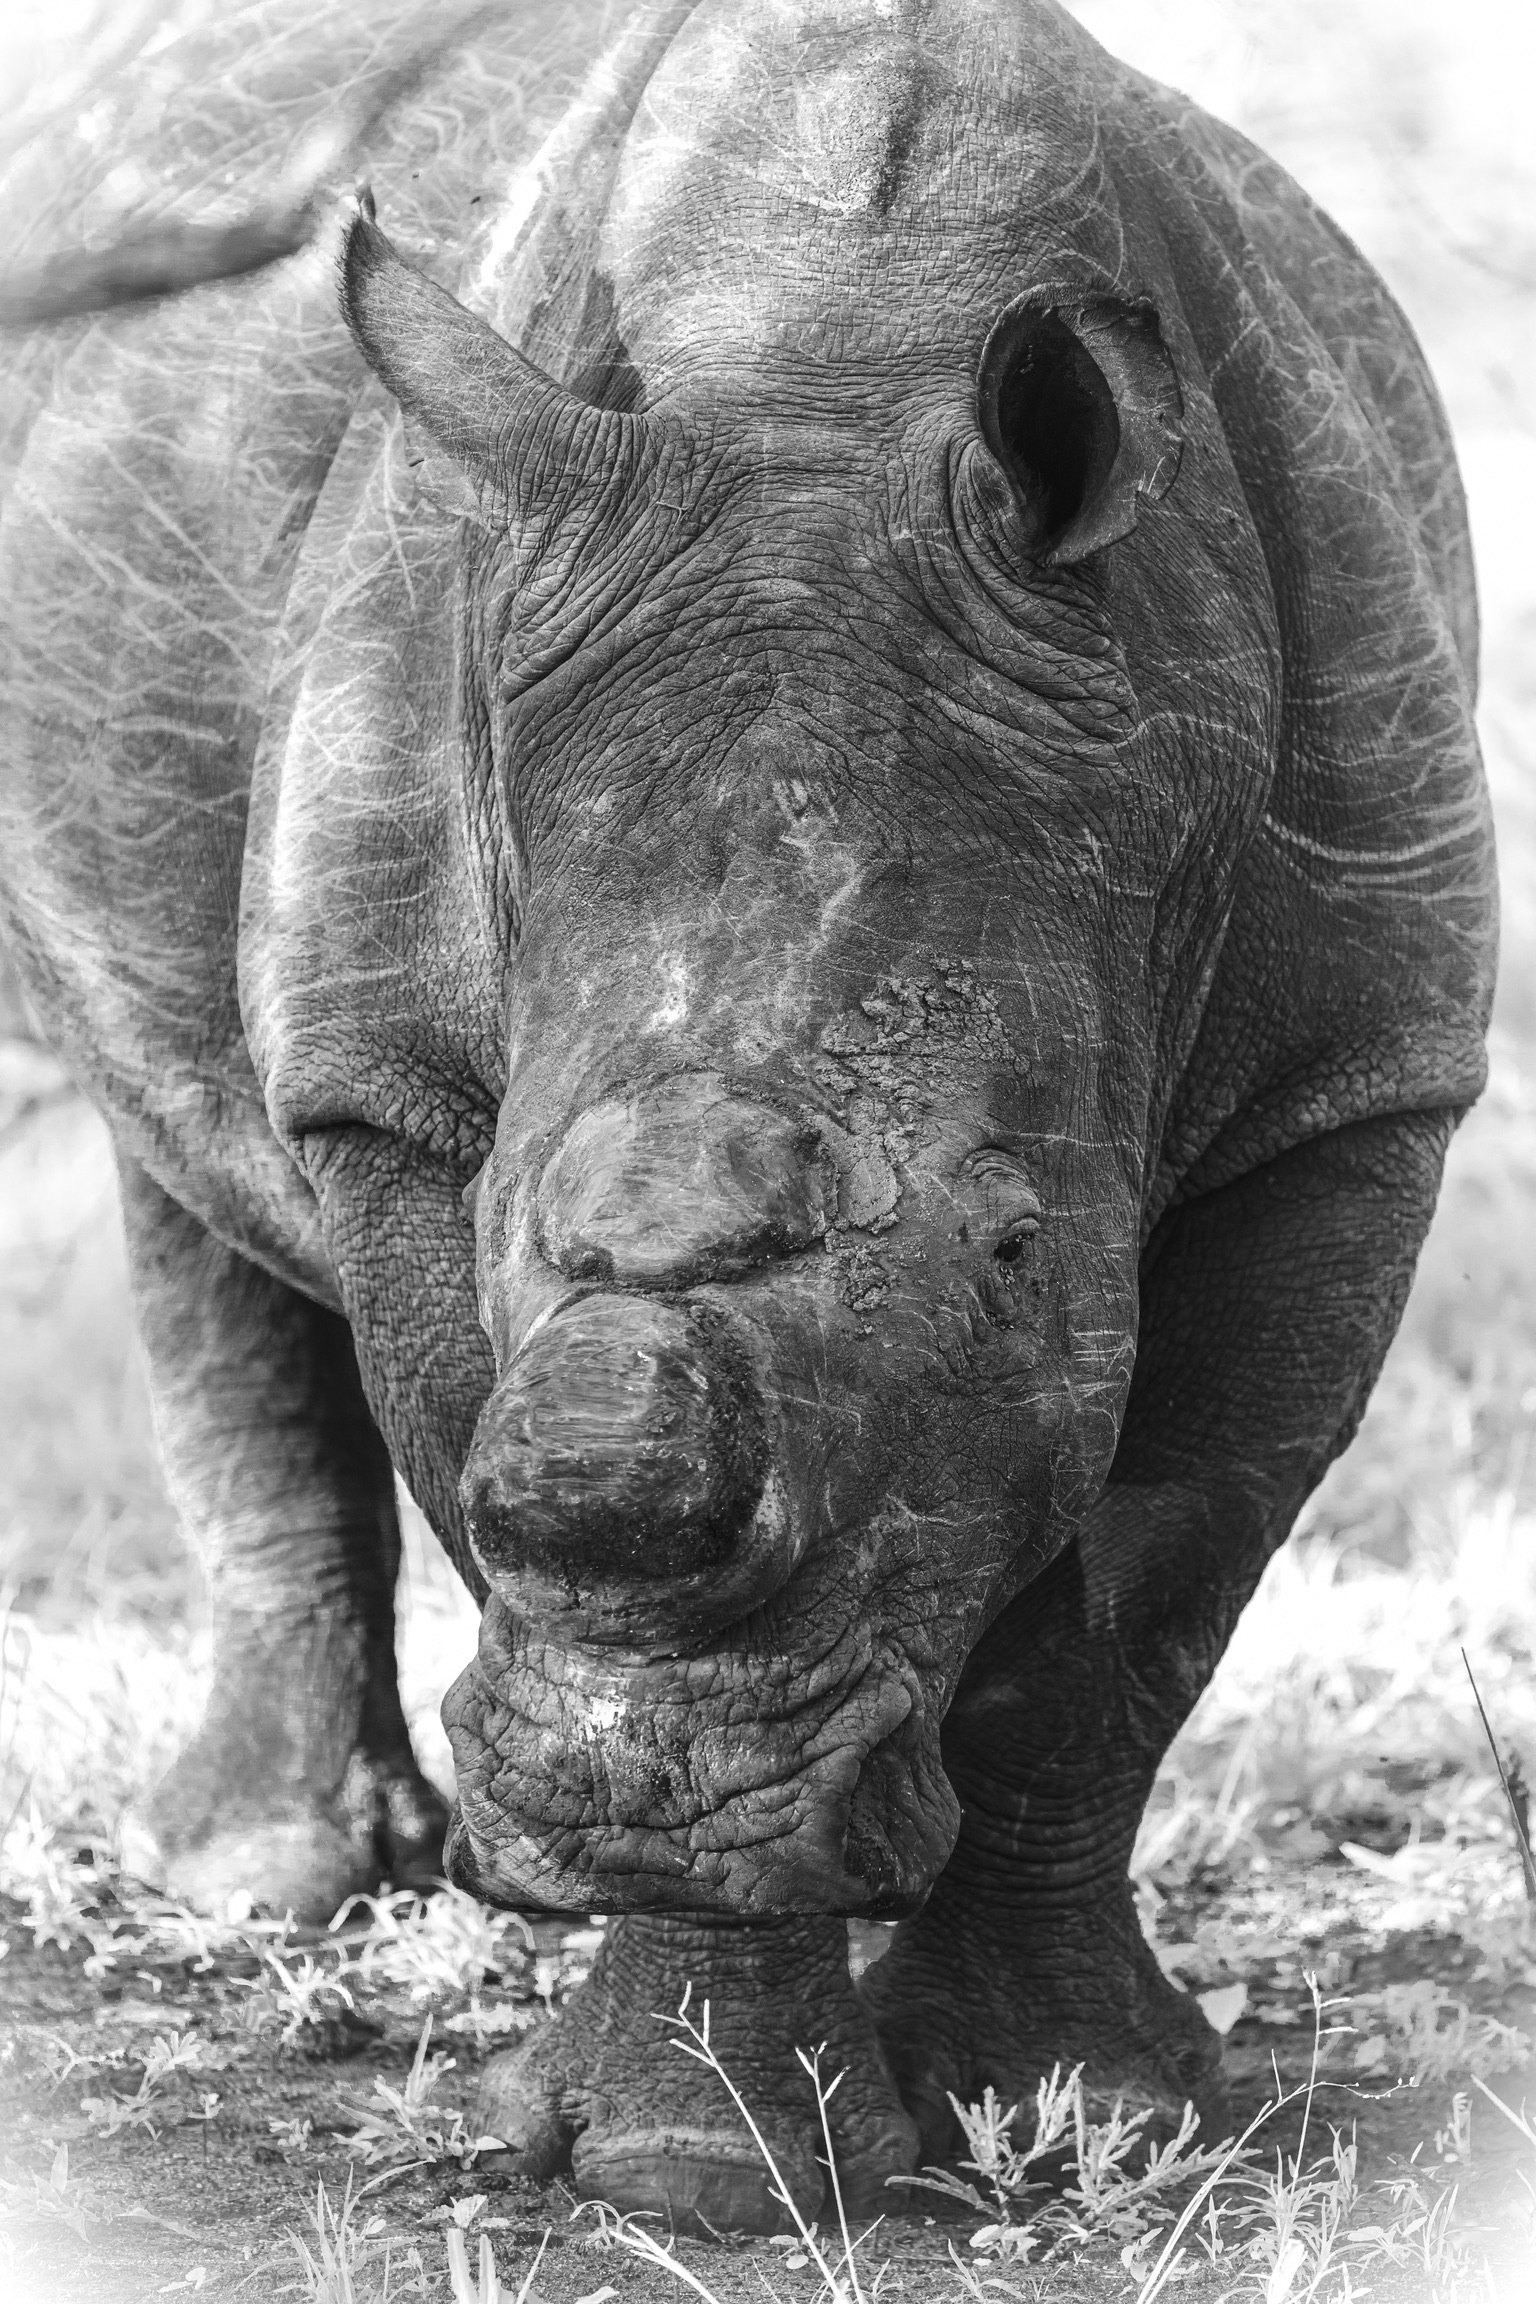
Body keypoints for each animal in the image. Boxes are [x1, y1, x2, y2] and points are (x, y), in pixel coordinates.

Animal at [0, 0, 1495, 2234]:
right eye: (507, 1211)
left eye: (1018, 1249)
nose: (635, 1818)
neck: (837, 379)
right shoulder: (391, 1088)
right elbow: (490, 1457)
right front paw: (693, 2163)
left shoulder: (1361, 1085)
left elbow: (1140, 1617)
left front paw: (1095, 2111)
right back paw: (277, 1885)